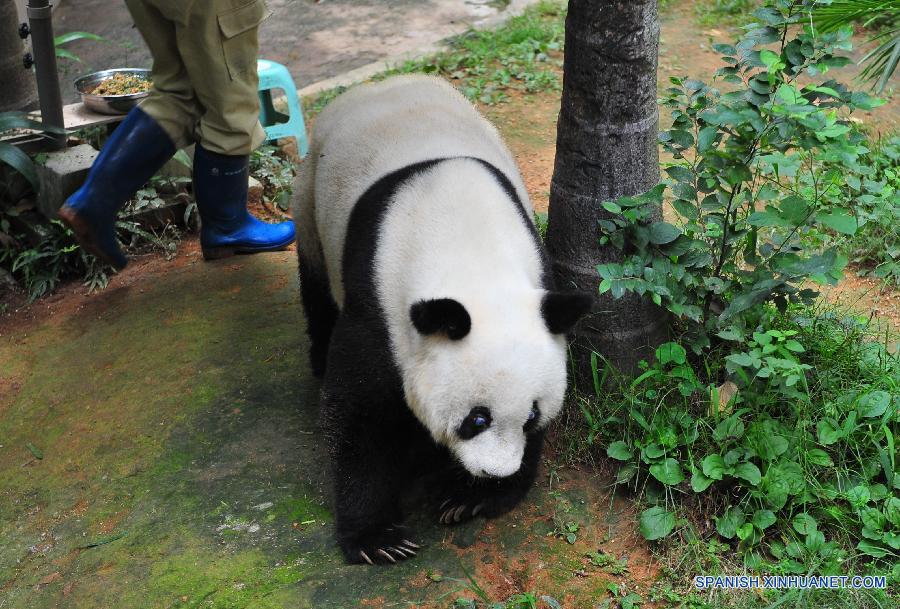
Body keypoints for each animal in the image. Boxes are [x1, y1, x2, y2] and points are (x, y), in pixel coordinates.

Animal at [294, 75, 592, 564]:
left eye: (531, 416)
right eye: (477, 419)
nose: (495, 472)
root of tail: (379, 84)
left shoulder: (540, 273)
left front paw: (472, 497)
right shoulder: (379, 303)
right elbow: (359, 414)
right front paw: (378, 539)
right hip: (310, 203)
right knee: (315, 287)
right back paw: (316, 357)